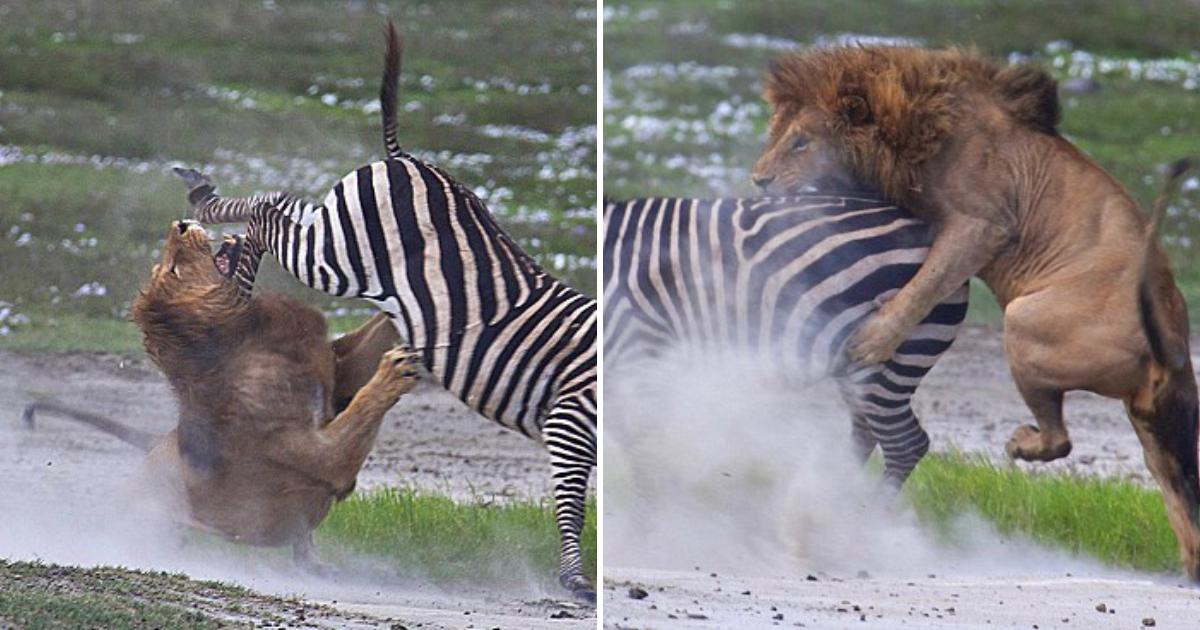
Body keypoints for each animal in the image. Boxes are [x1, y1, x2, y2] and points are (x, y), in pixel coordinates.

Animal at [24, 220, 417, 568]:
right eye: (174, 268)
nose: (180, 224)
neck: (247, 333)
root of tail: (154, 446)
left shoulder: (340, 372)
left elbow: (383, 321)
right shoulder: (320, 456)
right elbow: (361, 409)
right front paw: (396, 368)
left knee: (302, 550)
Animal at [172, 20, 595, 600]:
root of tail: (407, 159)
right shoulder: (571, 417)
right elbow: (573, 500)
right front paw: (575, 579)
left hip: (336, 227)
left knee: (279, 204)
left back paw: (216, 226)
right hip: (337, 254)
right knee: (267, 214)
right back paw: (228, 265)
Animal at [604, 194, 969, 484]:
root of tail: (930, 230)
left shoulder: (639, 352)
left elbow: (642, 456)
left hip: (891, 354)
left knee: (905, 445)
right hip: (858, 364)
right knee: (867, 432)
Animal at [748, 45, 1200, 580]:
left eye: (800, 142)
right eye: (776, 132)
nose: (758, 180)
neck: (916, 130)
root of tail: (1167, 342)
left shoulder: (982, 226)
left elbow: (925, 284)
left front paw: (874, 339)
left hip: (1022, 321)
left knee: (1061, 439)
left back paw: (1021, 444)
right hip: (1161, 424)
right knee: (1177, 489)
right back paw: (1191, 564)